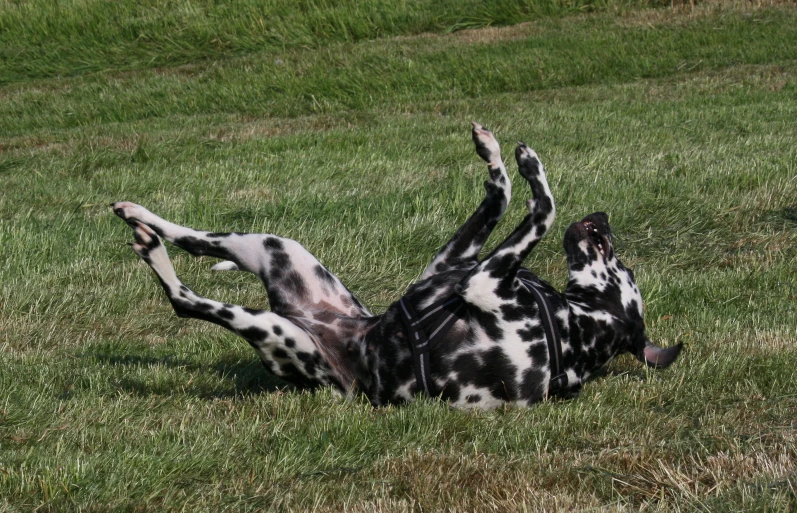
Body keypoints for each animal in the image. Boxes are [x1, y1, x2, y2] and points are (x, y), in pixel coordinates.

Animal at [112, 123, 680, 408]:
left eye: (620, 264)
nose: (602, 218)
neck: (569, 325)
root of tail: (316, 322)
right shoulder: (452, 268)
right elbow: (500, 200)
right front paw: (500, 158)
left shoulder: (480, 279)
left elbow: (543, 206)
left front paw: (529, 168)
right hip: (274, 246)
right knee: (196, 241)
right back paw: (138, 215)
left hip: (278, 332)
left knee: (184, 299)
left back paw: (150, 247)